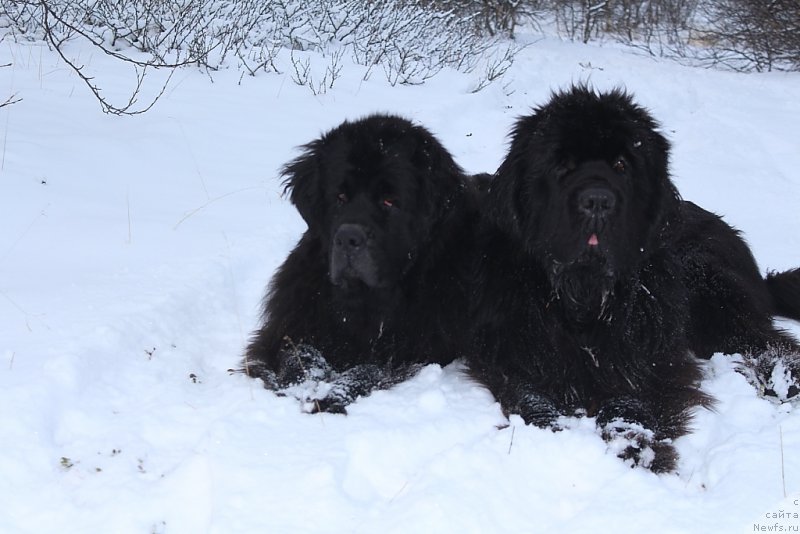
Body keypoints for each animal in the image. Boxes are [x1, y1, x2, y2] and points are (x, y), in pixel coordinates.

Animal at [468, 85, 800, 474]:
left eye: (622, 166)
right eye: (561, 165)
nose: (597, 200)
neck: (583, 296)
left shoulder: (646, 352)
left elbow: (631, 396)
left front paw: (637, 445)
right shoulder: (511, 348)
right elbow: (531, 394)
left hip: (707, 279)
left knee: (758, 338)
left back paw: (784, 379)